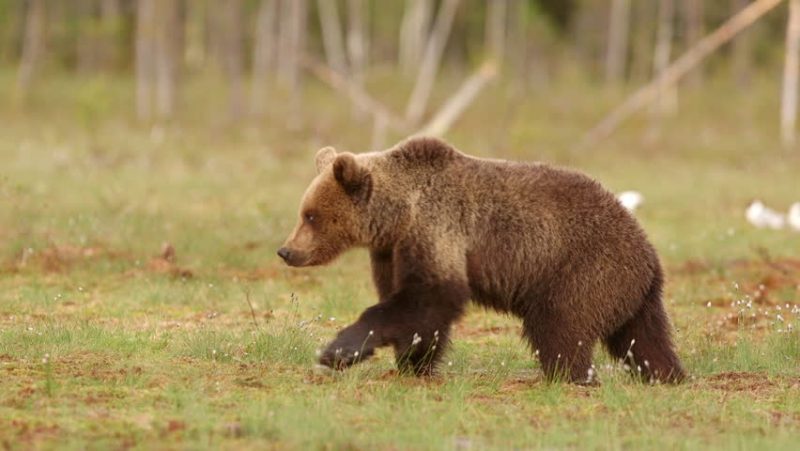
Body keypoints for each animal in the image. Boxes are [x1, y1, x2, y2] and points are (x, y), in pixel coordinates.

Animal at [278, 136, 684, 384]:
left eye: (311, 215)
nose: (287, 251)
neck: (397, 216)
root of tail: (650, 256)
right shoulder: (392, 251)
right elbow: (418, 311)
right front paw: (415, 363)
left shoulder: (436, 228)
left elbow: (429, 297)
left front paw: (339, 350)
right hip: (629, 294)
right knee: (644, 340)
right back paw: (667, 375)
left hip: (582, 270)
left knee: (559, 326)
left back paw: (566, 376)